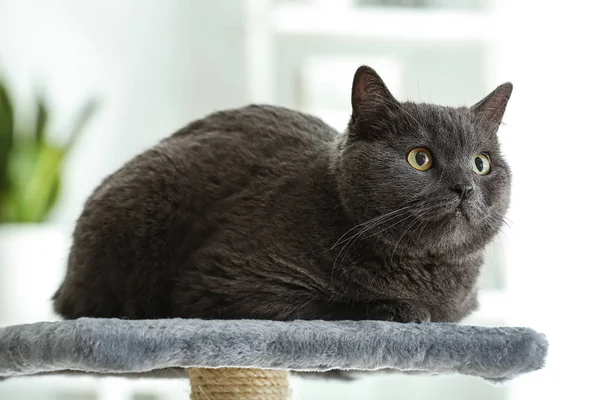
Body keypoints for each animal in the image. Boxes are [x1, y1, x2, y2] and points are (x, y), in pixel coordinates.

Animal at [52, 64, 510, 324]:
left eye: (480, 164)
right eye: (420, 158)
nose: (465, 187)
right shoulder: (222, 282)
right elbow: (329, 306)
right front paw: (401, 309)